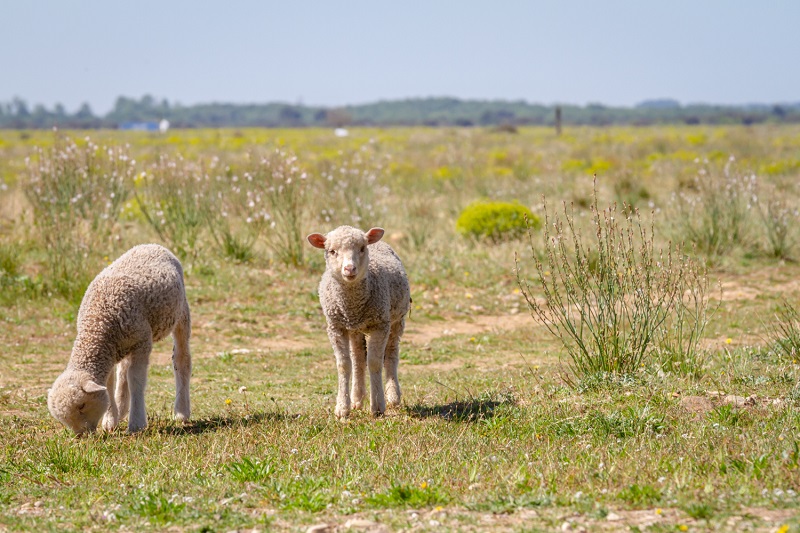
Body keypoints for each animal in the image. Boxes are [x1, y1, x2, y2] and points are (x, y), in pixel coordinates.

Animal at [48, 243, 191, 434]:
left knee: (182, 359)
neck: (97, 325)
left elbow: (136, 380)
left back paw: (182, 411)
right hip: (124, 344)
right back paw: (122, 408)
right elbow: (109, 384)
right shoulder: (111, 349)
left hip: (181, 313)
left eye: (82, 405)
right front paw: (110, 419)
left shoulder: (142, 342)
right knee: (123, 371)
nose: (81, 435)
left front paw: (137, 423)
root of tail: (151, 245)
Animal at [304, 222, 410, 418]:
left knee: (391, 355)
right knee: (358, 359)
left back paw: (393, 396)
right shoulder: (336, 326)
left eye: (362, 248)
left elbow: (375, 362)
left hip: (396, 320)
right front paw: (342, 408)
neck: (352, 305)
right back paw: (357, 399)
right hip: (355, 329)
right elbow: (344, 365)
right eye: (332, 251)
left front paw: (378, 406)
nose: (349, 269)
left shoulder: (380, 324)